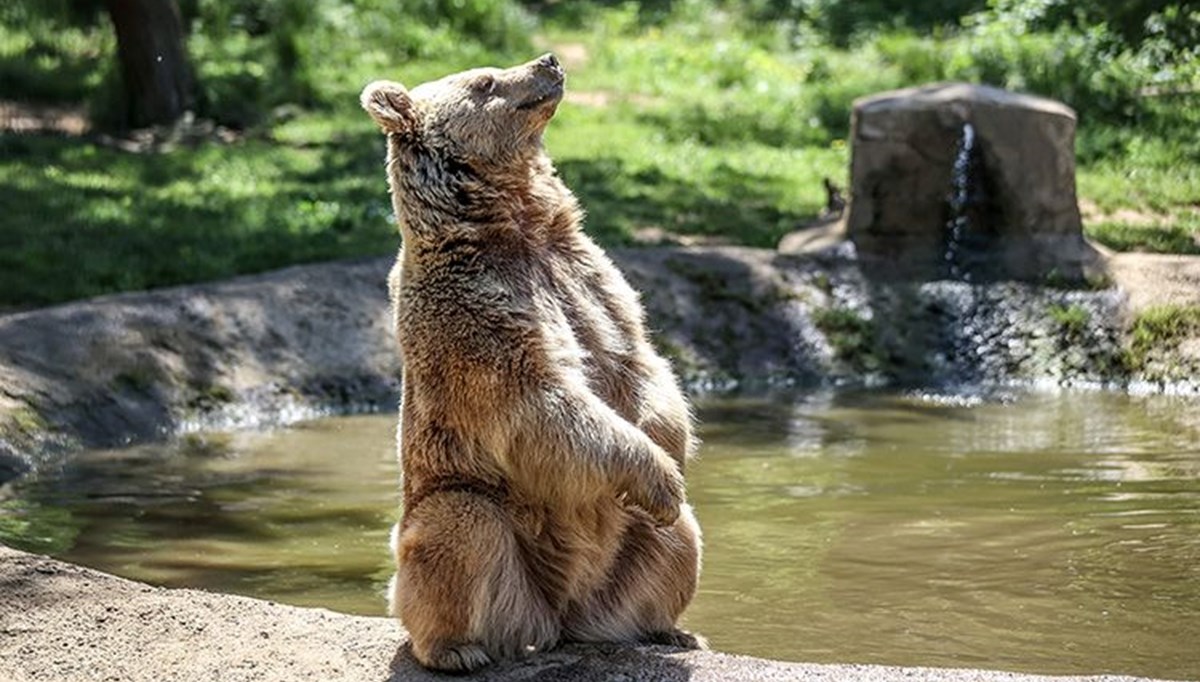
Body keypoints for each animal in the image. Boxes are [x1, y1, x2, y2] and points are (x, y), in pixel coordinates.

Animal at [357, 53, 700, 672]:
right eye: (484, 80)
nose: (549, 61)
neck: (515, 225)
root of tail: (559, 616)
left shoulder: (586, 275)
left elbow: (638, 360)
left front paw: (670, 448)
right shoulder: (476, 313)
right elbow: (542, 401)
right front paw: (660, 475)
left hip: (623, 556)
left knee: (678, 538)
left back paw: (667, 630)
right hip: (475, 523)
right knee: (460, 529)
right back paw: (456, 649)